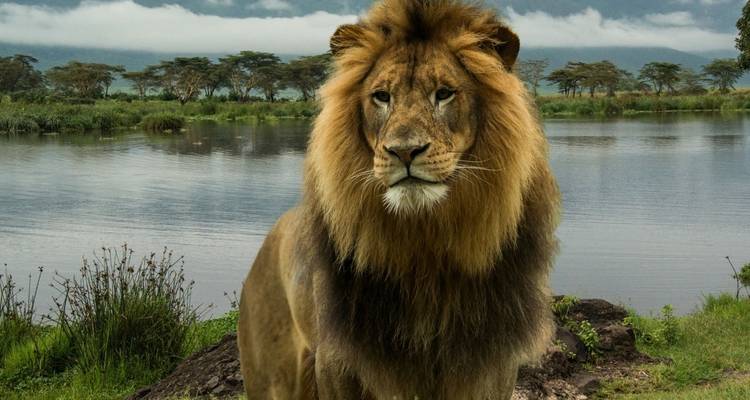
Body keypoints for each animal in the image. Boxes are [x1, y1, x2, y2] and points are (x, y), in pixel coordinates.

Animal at [237, 0, 561, 399]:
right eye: (382, 96)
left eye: (444, 93)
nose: (404, 151)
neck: (423, 243)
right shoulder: (340, 359)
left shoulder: (488, 364)